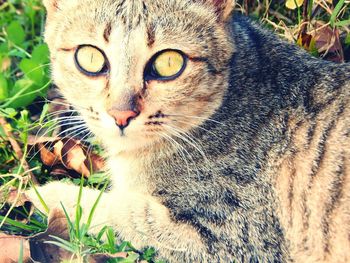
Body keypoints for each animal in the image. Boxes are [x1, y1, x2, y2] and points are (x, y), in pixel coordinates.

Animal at [26, 0, 350, 262]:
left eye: (169, 63)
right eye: (90, 58)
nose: (121, 115)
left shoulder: (233, 239)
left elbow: (122, 213)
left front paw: (51, 194)